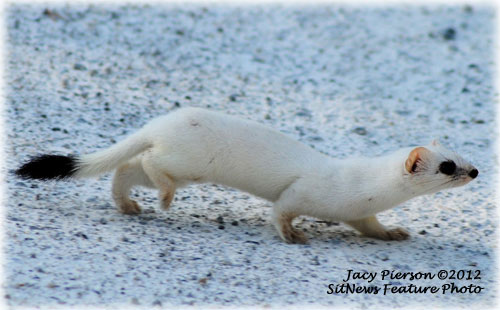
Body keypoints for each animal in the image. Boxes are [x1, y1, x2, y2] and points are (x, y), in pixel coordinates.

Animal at [15, 108, 476, 243]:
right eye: (447, 166)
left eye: (460, 152)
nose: (475, 170)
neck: (363, 188)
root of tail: (161, 122)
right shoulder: (303, 192)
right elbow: (282, 210)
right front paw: (293, 236)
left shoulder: (357, 212)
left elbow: (371, 227)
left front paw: (395, 232)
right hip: (187, 162)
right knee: (148, 166)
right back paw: (163, 199)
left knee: (128, 169)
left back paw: (129, 205)